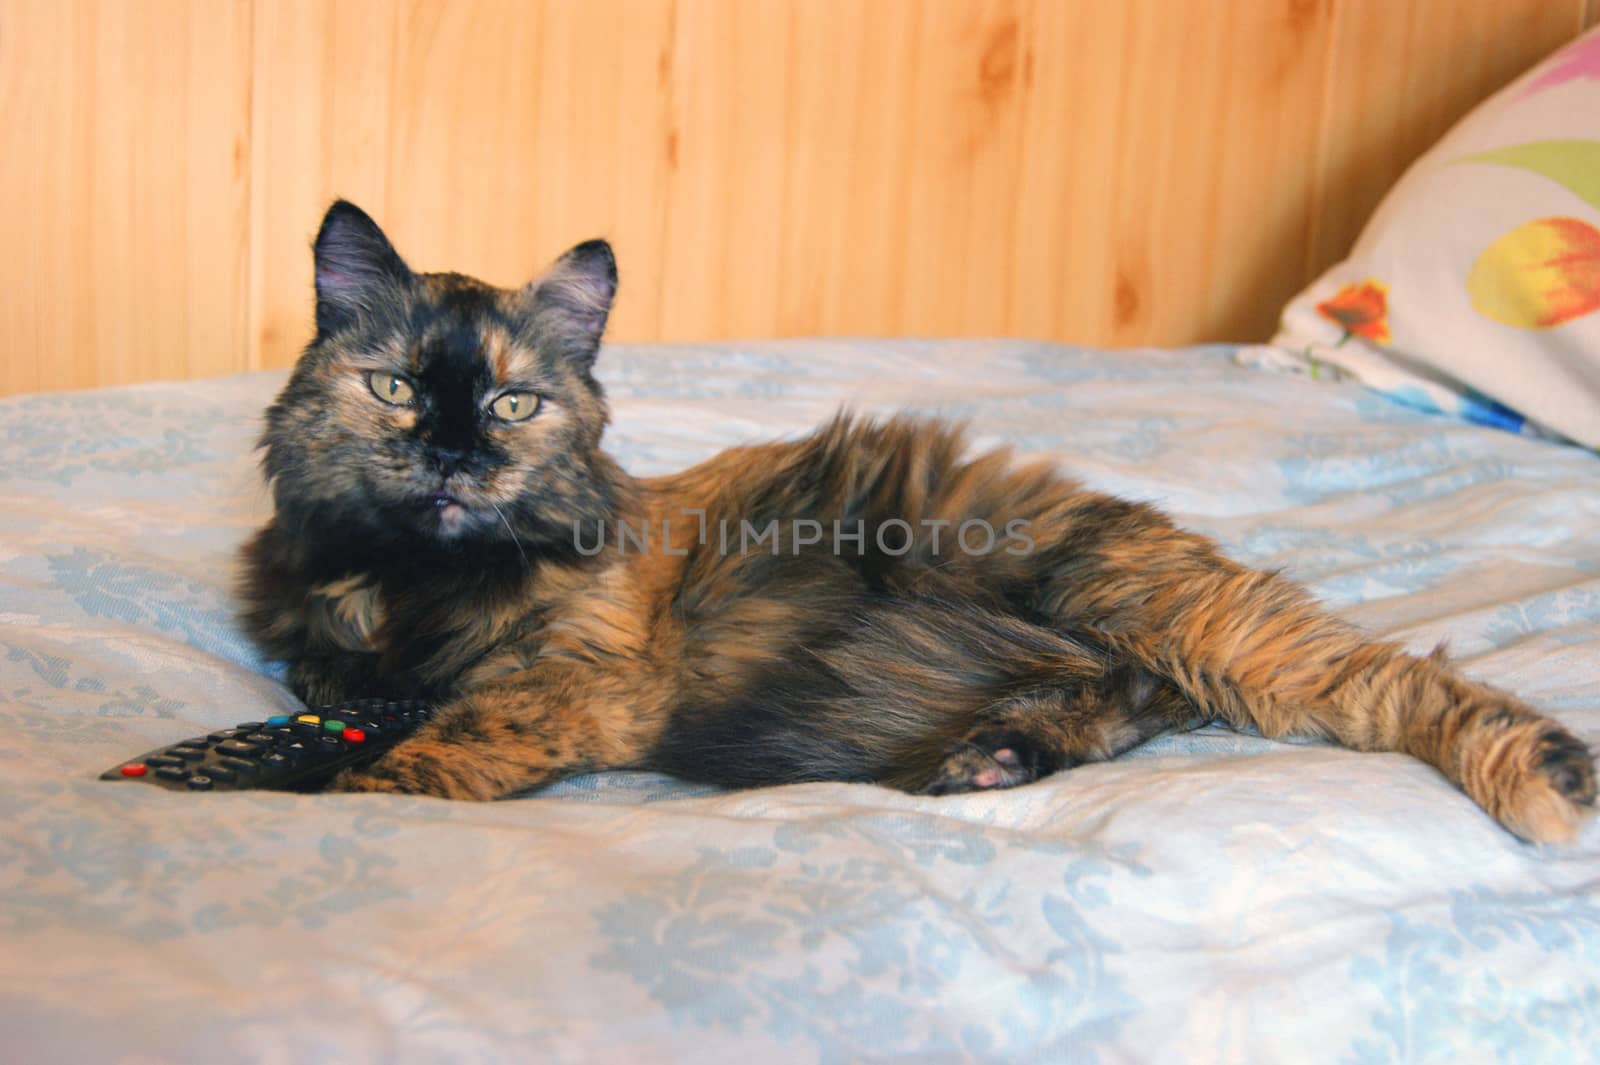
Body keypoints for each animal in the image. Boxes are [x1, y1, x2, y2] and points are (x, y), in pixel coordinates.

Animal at [232, 203, 1593, 844]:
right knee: (1123, 703)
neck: (413, 582)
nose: (453, 454)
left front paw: (356, 795)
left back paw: (1545, 774)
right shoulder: (323, 653)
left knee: (1387, 684)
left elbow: (436, 747)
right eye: (397, 387)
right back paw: (990, 759)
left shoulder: (583, 681)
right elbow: (341, 684)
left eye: (514, 400)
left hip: (1132, 601)